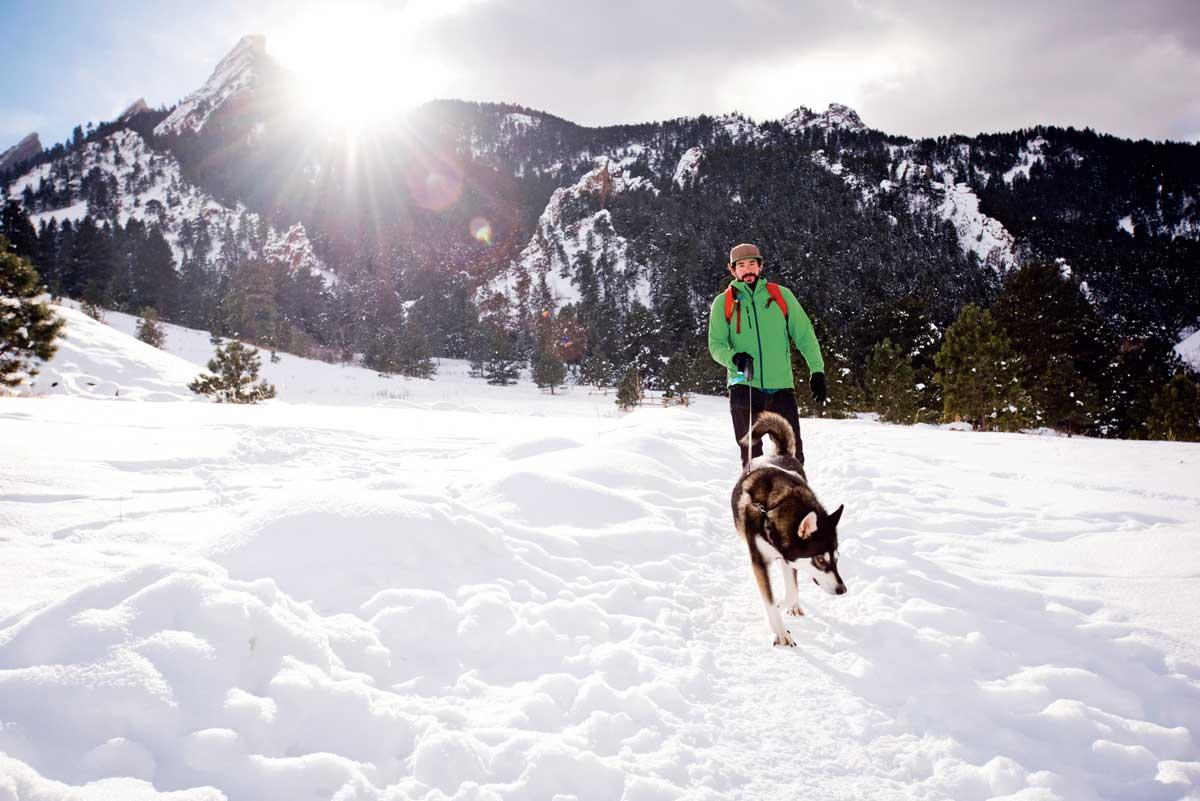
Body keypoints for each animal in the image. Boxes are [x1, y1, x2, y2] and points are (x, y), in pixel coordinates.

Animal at [724, 412, 849, 642]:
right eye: (820, 560)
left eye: (836, 558)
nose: (842, 589)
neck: (773, 510)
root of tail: (780, 453)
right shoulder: (760, 561)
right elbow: (769, 599)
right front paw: (780, 632)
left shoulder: (789, 557)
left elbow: (791, 592)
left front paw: (783, 605)